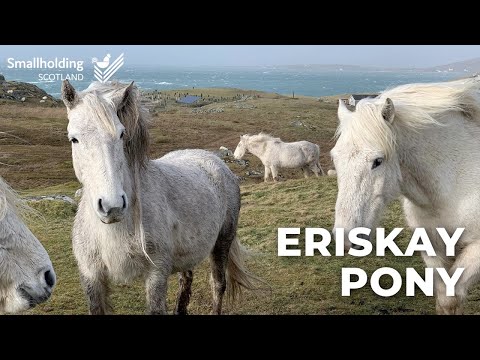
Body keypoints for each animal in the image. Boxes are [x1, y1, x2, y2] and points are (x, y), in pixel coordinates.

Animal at [63, 81, 260, 316]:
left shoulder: (156, 274)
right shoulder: (91, 278)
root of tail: (215, 161)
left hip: (222, 241)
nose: (113, 206)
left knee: (218, 285)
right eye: (74, 139)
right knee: (186, 281)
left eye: (121, 134)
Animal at [332, 76, 480, 316]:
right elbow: (444, 299)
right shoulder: (432, 248)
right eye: (335, 158)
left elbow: (452, 298)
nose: (345, 240)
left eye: (378, 161)